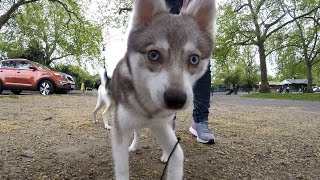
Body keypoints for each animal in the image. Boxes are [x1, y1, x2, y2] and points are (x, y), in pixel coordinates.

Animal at [108, 0, 218, 179]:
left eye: (194, 59)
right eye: (153, 55)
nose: (176, 99)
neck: (149, 108)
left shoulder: (160, 124)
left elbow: (177, 153)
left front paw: (171, 162)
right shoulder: (121, 126)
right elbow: (122, 168)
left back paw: (166, 154)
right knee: (137, 132)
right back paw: (134, 145)